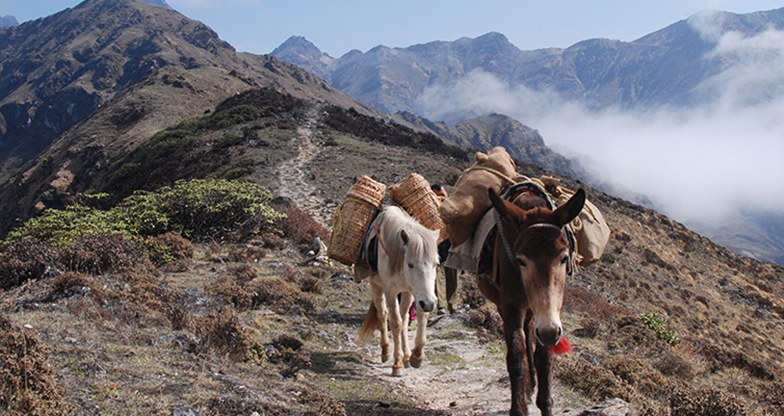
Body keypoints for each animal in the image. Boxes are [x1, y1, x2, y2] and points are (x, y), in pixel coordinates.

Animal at [356, 206, 440, 376]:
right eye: (411, 264)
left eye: (436, 264)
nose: (430, 303)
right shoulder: (391, 291)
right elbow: (395, 322)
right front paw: (397, 364)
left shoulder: (414, 292)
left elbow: (419, 317)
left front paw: (416, 355)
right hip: (376, 286)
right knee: (382, 315)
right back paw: (386, 352)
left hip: (407, 293)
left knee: (404, 317)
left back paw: (406, 355)